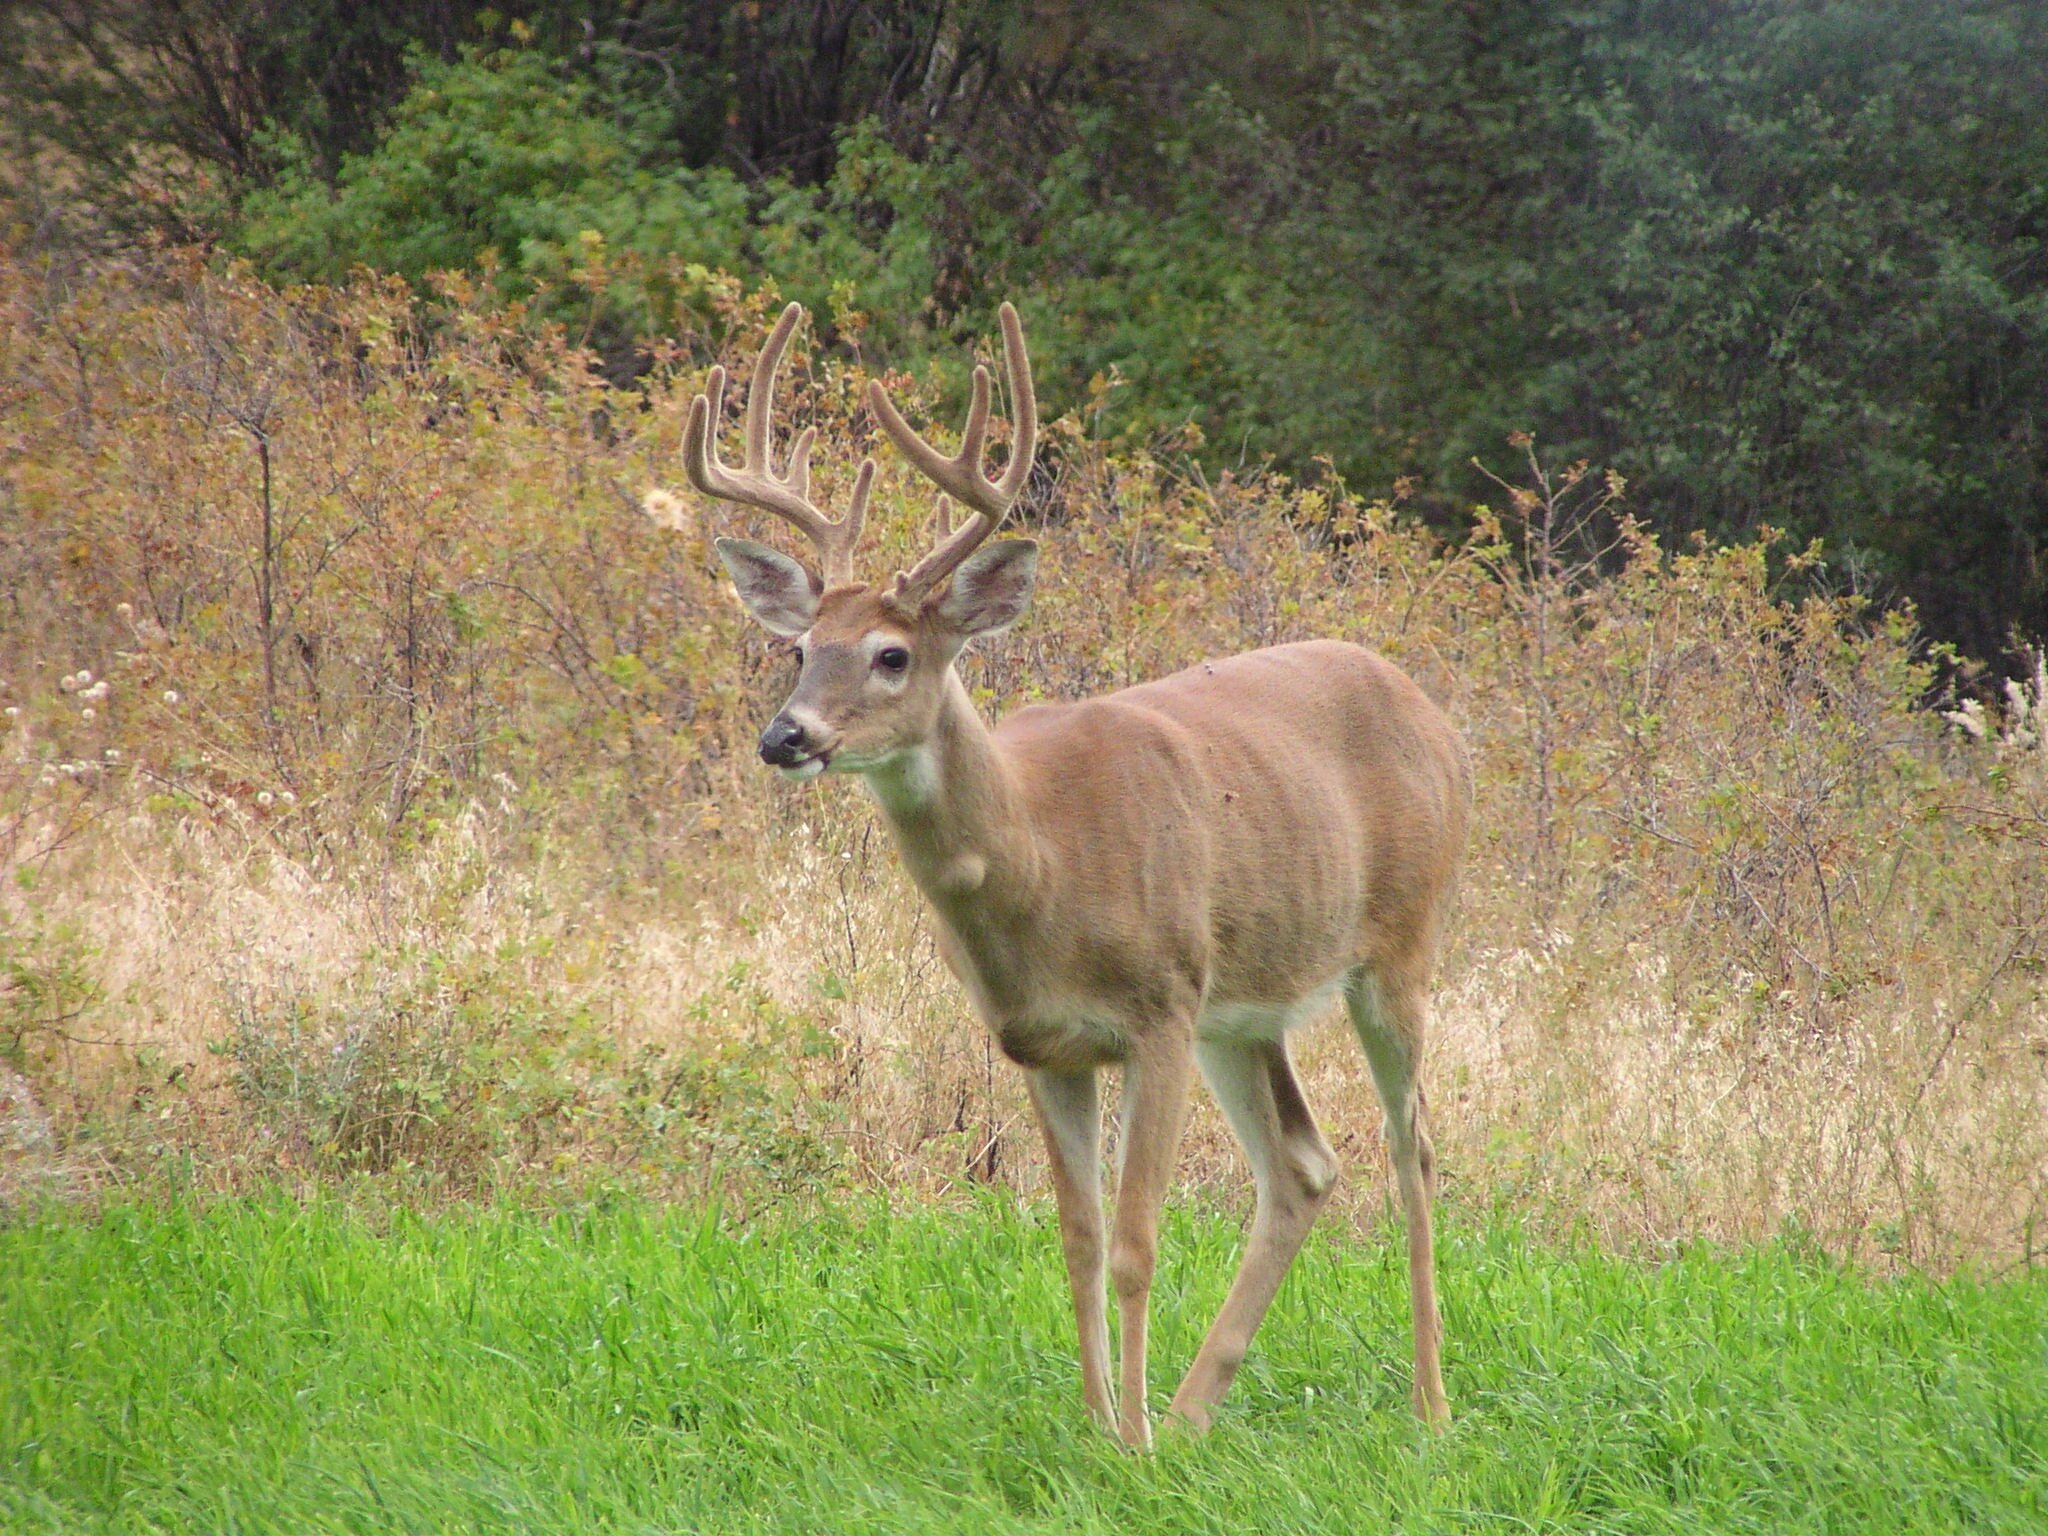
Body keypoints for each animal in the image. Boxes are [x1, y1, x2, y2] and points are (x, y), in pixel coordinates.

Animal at [671, 303, 1474, 1458]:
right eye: (798, 652)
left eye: (890, 656)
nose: (786, 738)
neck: (1041, 866)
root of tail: (1437, 721)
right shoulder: (1043, 1043)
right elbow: (1079, 1237)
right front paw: (1102, 1425)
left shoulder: (1156, 1010)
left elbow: (1137, 1240)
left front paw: (1128, 1445)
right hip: (1244, 1006)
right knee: (1302, 1165)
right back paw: (1194, 1410)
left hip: (1395, 944)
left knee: (1414, 1156)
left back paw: (1427, 1409)